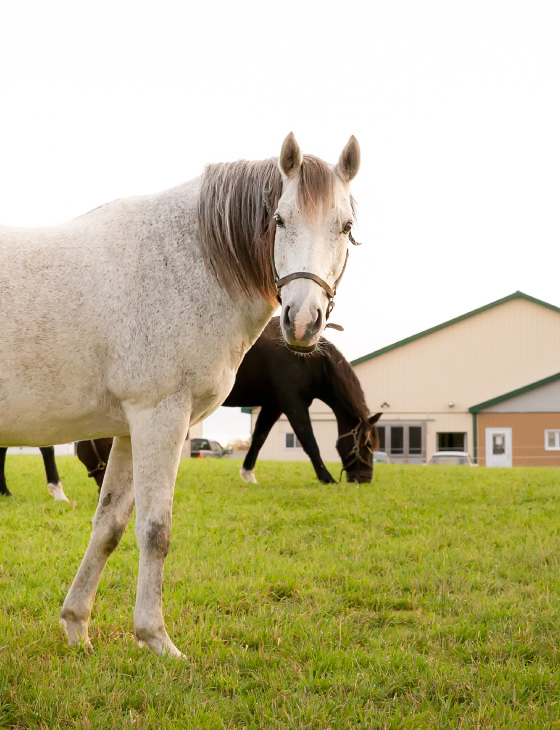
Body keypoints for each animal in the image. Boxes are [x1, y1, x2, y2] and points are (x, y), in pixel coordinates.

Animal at [0, 133, 361, 657]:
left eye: (345, 226)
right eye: (278, 219)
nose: (301, 321)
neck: (192, 262)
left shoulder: (131, 429)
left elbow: (109, 525)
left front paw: (76, 625)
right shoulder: (161, 416)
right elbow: (155, 530)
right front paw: (156, 639)